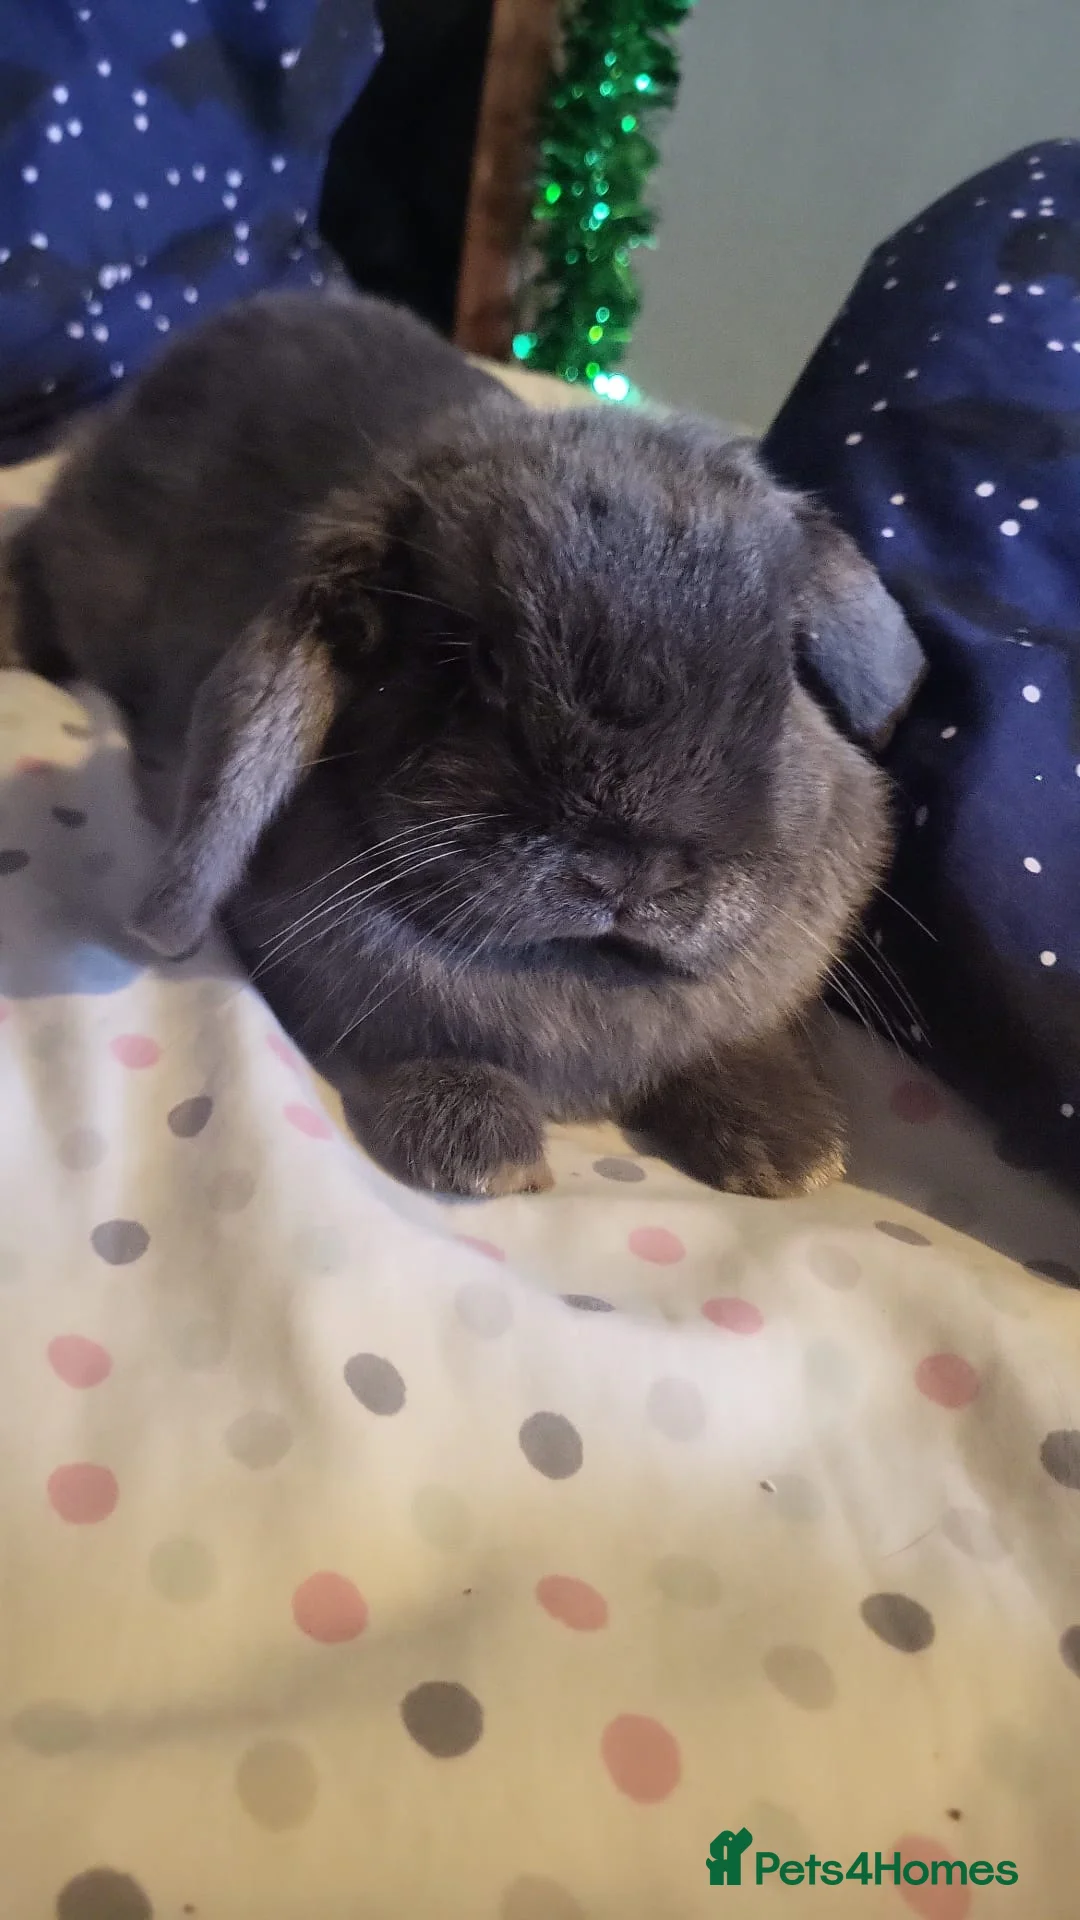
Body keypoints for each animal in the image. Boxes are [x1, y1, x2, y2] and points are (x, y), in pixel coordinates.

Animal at [6, 286, 924, 1197]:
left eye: (778, 673)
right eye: (481, 661)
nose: (629, 870)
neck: (577, 968)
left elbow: (730, 1046)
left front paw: (792, 1149)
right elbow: (410, 1045)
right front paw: (480, 1147)